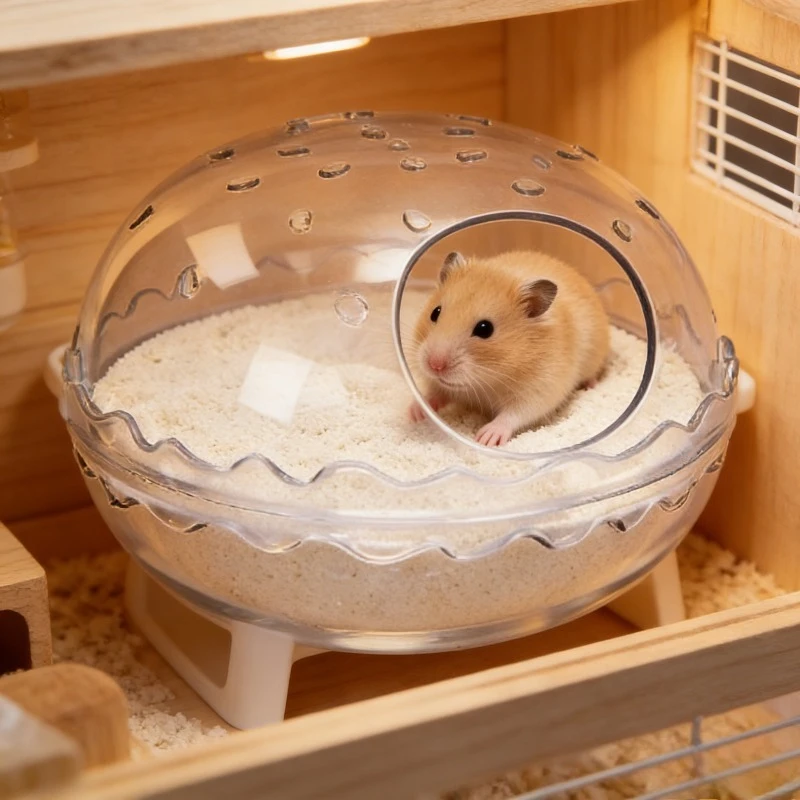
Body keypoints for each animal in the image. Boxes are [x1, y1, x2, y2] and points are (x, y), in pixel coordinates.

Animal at [407, 249, 610, 447]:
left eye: (485, 329)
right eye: (435, 313)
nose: (435, 366)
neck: (488, 380)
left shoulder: (540, 389)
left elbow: (514, 415)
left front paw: (485, 438)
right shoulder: (440, 385)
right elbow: (434, 393)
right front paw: (415, 413)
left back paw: (591, 385)